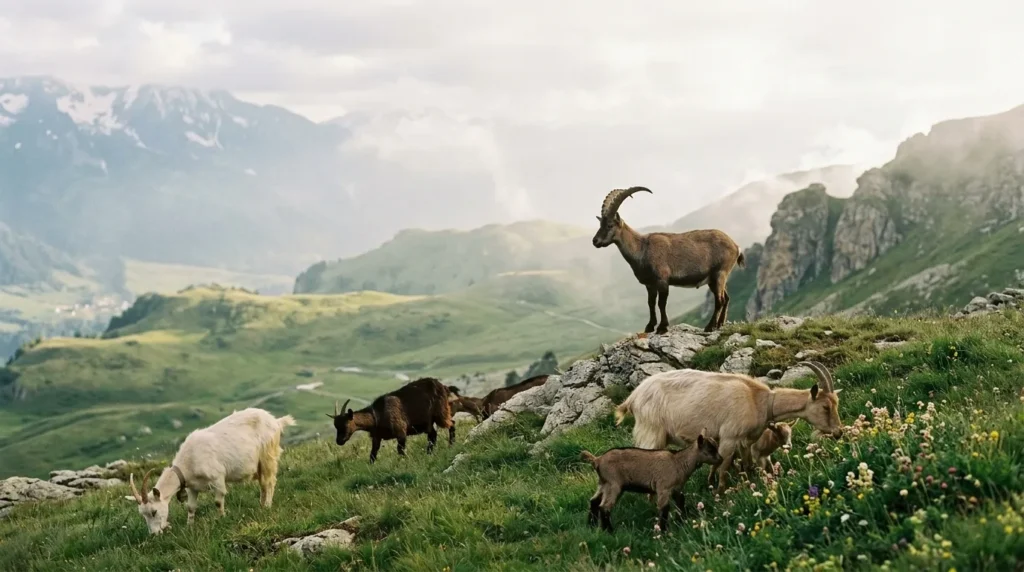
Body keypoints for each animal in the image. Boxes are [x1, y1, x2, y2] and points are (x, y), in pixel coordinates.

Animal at [128, 408, 296, 534]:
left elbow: (217, 501)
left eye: (154, 511)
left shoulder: (217, 478)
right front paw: (189, 527)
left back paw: (267, 506)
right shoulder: (192, 487)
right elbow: (191, 507)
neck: (189, 460)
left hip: (268, 456)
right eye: (143, 515)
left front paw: (221, 519)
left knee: (269, 482)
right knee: (263, 484)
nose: (154, 534)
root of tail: (276, 421)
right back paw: (261, 505)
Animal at [581, 430, 722, 532]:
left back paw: (591, 525)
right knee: (604, 507)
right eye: (710, 450)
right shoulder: (663, 488)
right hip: (613, 484)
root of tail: (597, 460)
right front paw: (663, 531)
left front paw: (681, 522)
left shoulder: (675, 489)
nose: (721, 458)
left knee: (594, 501)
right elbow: (664, 508)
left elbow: (680, 502)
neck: (678, 462)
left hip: (604, 483)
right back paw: (609, 531)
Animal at [592, 187, 744, 333]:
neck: (642, 249)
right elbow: (651, 303)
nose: (595, 241)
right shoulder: (650, 284)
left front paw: (662, 327)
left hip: (720, 273)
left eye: (610, 225)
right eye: (600, 224)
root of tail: (736, 246)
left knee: (720, 300)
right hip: (714, 279)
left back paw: (710, 327)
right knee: (726, 298)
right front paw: (650, 326)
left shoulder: (662, 280)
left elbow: (661, 303)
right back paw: (719, 324)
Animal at [614, 361, 842, 493]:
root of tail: (632, 398)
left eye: (836, 403)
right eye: (825, 406)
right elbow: (723, 467)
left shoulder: (745, 441)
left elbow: (747, 465)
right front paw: (720, 493)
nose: (839, 432)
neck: (759, 400)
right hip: (651, 433)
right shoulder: (729, 437)